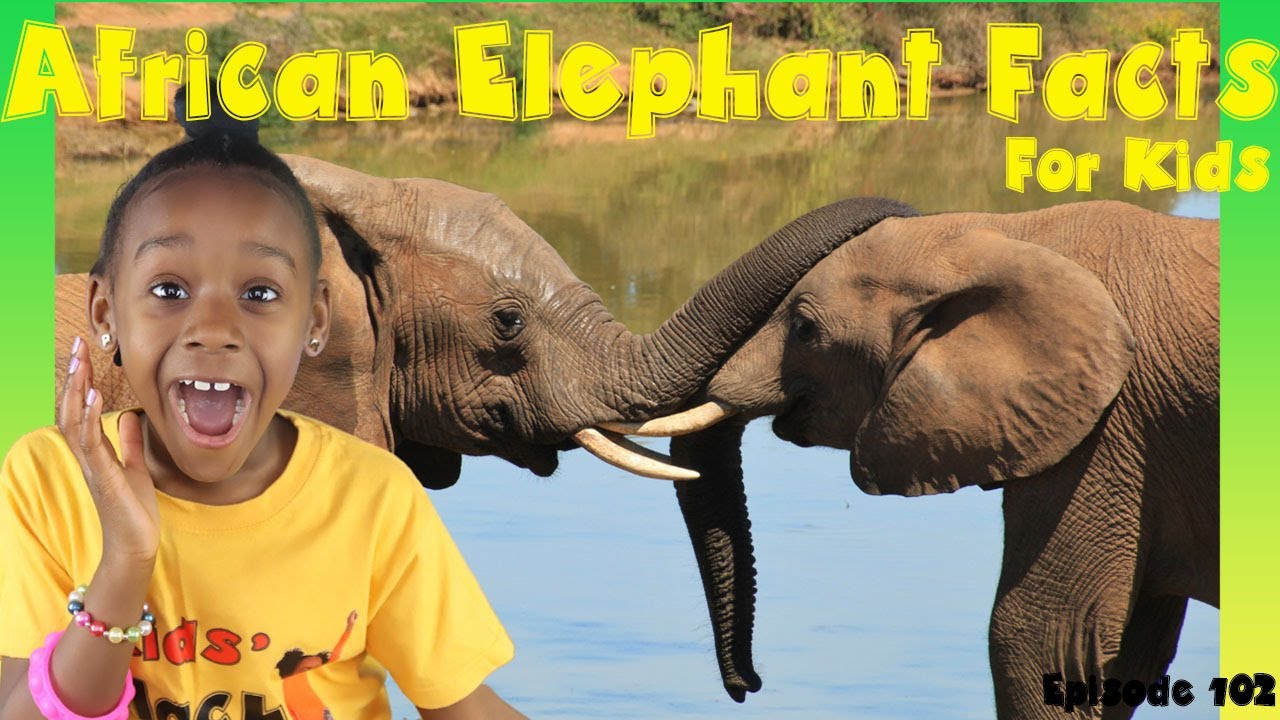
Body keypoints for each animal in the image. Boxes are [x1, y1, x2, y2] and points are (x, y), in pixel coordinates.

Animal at [609, 201, 1219, 718]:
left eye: (804, 329)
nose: (749, 686)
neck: (1007, 235)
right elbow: (1129, 651)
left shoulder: (1107, 432)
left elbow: (1040, 637)